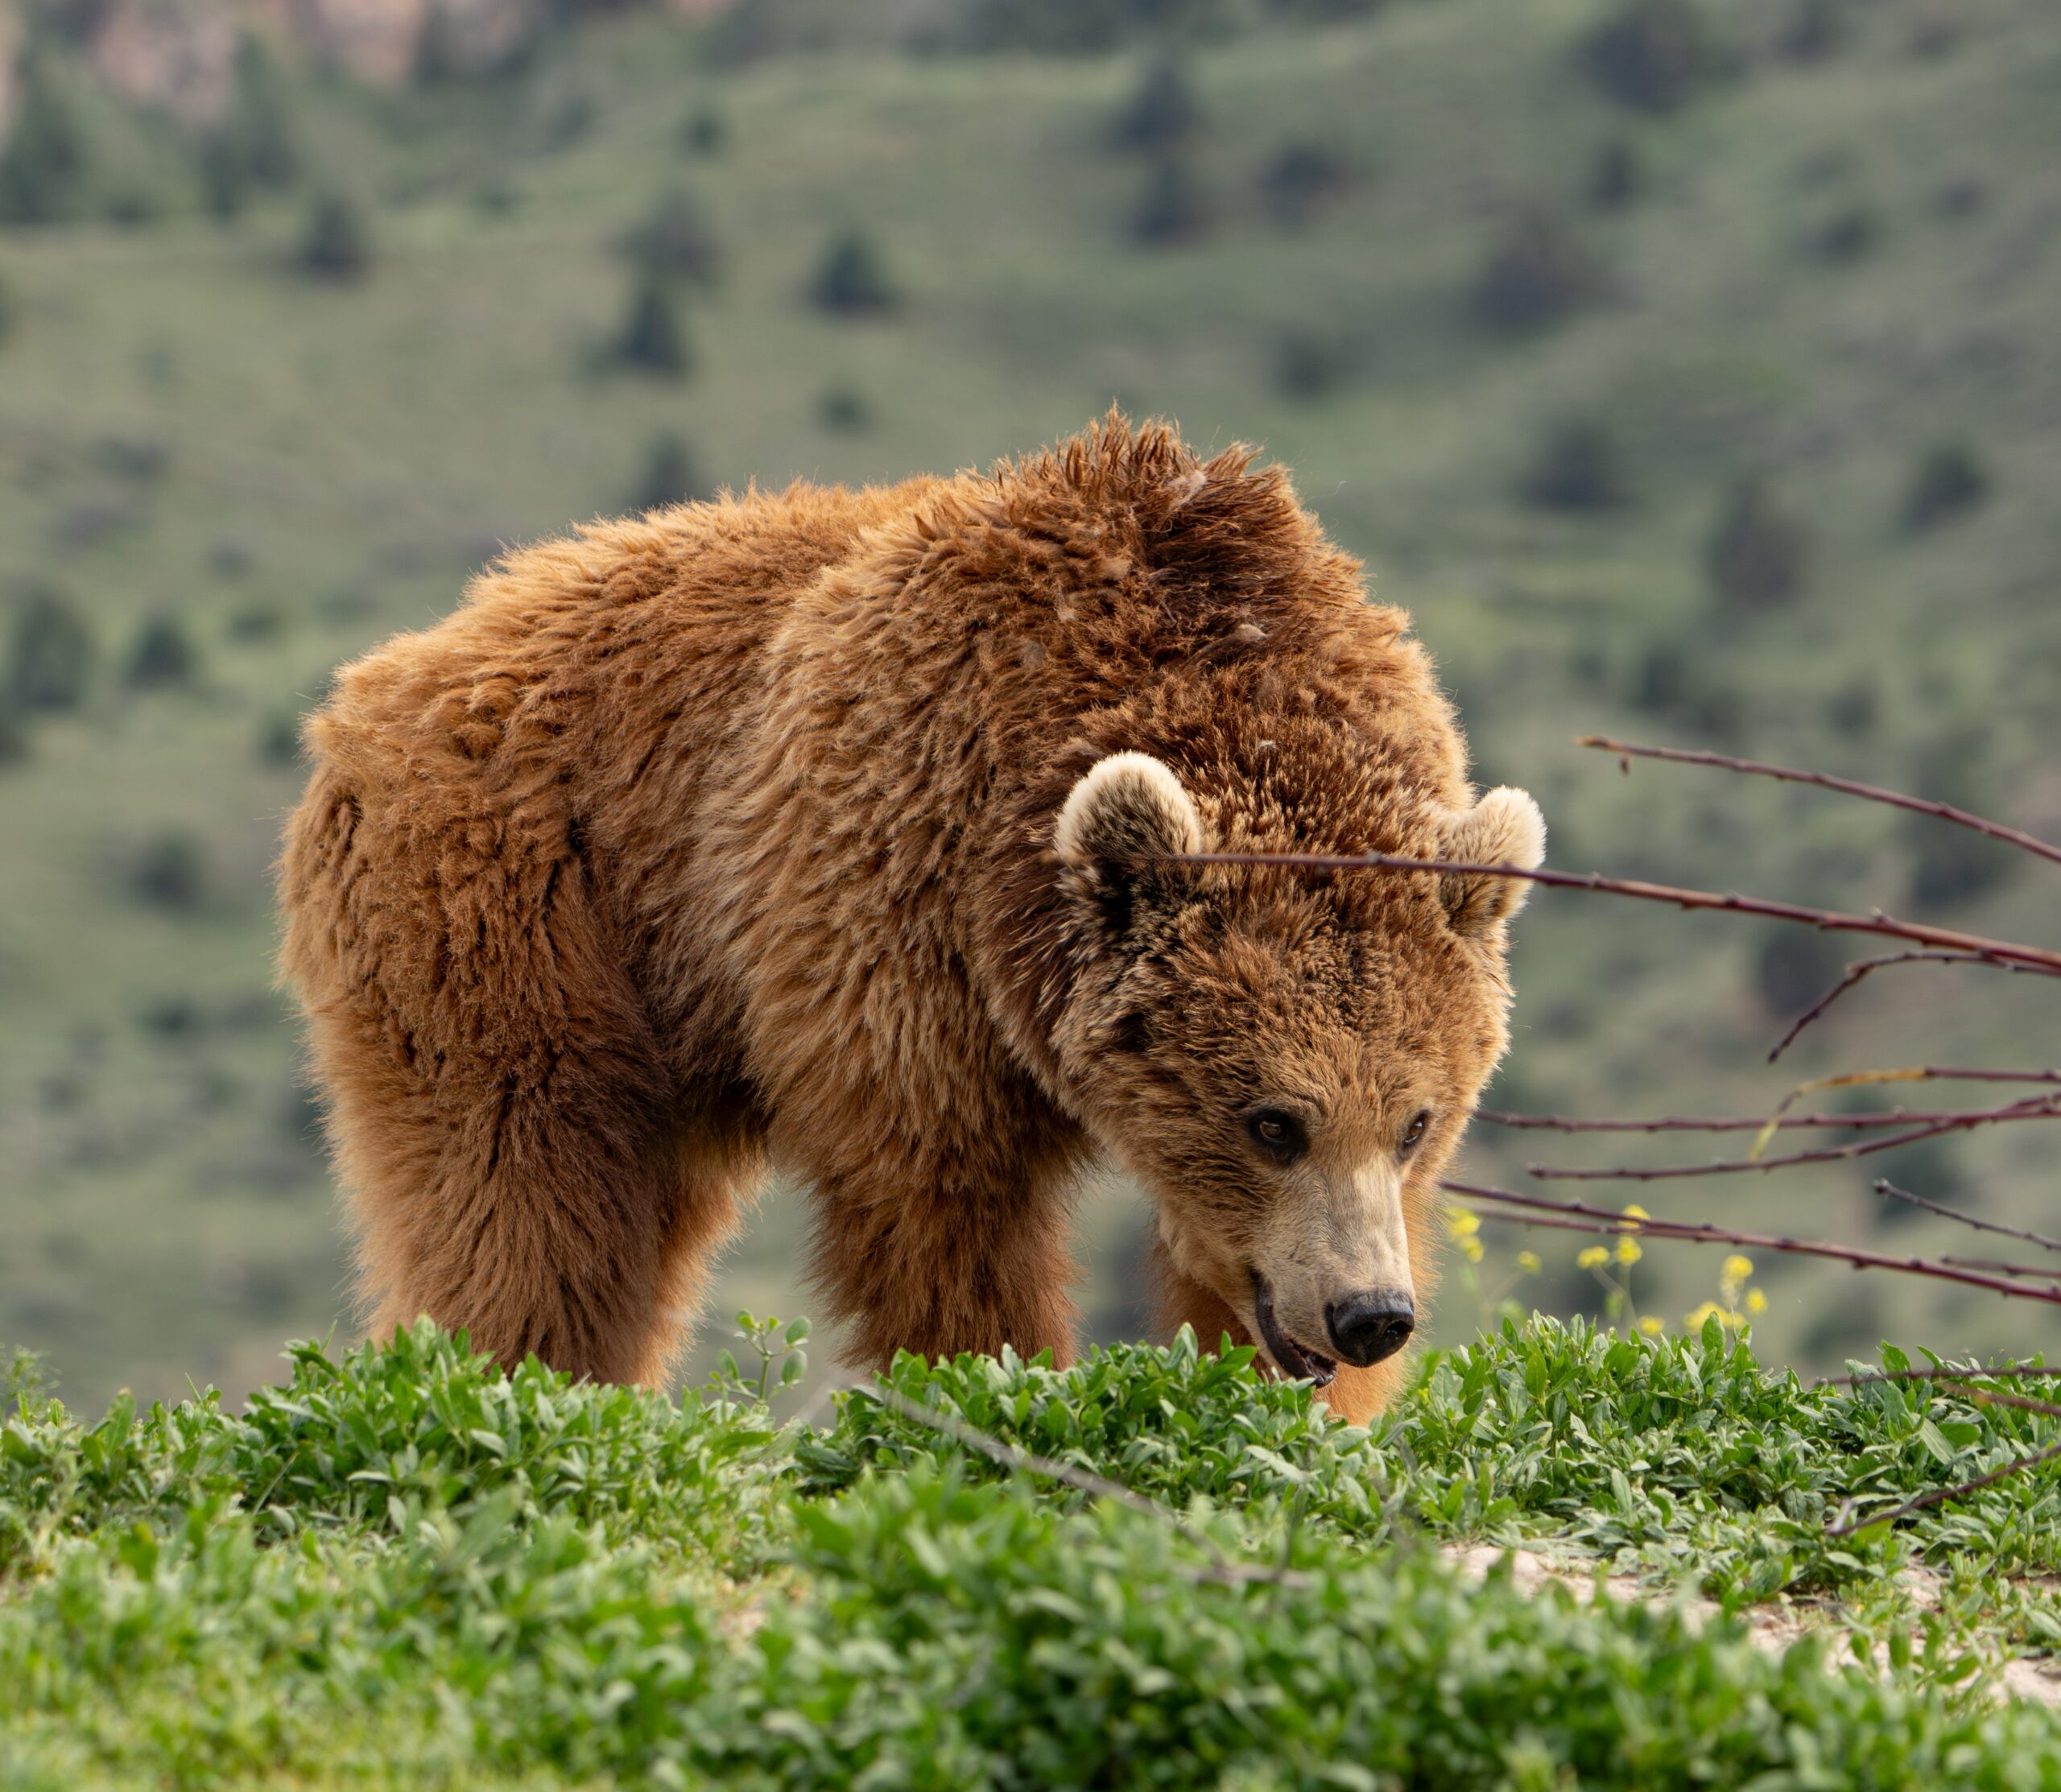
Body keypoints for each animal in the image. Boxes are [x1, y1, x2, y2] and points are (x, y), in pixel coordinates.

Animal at [278, 413, 1544, 1425]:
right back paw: (505, 1382)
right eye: (1273, 1120)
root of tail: (393, 669)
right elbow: (948, 1212)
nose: (1369, 1314)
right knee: (524, 1186)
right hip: (524, 904)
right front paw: (999, 1389)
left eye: (1418, 1119)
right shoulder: (897, 900)